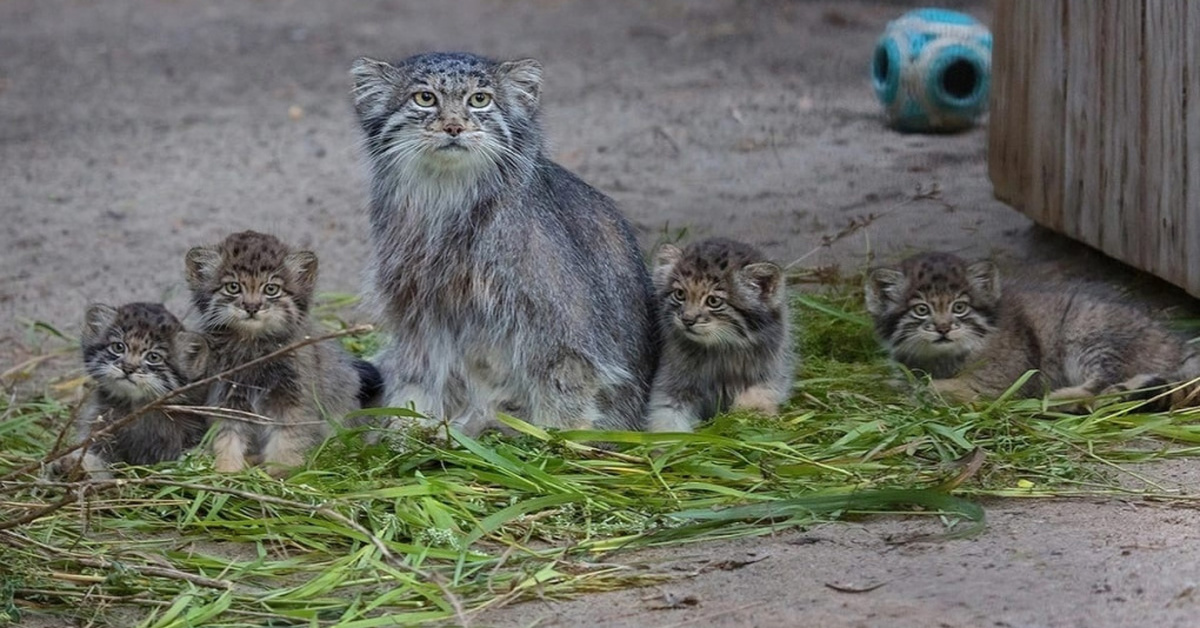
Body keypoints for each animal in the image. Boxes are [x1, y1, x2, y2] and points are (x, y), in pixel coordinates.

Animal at [350, 51, 657, 434]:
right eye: (425, 98)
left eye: (480, 99)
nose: (454, 127)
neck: (447, 200)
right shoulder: (418, 309)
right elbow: (420, 376)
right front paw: (405, 429)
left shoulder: (562, 326)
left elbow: (564, 387)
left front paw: (559, 439)